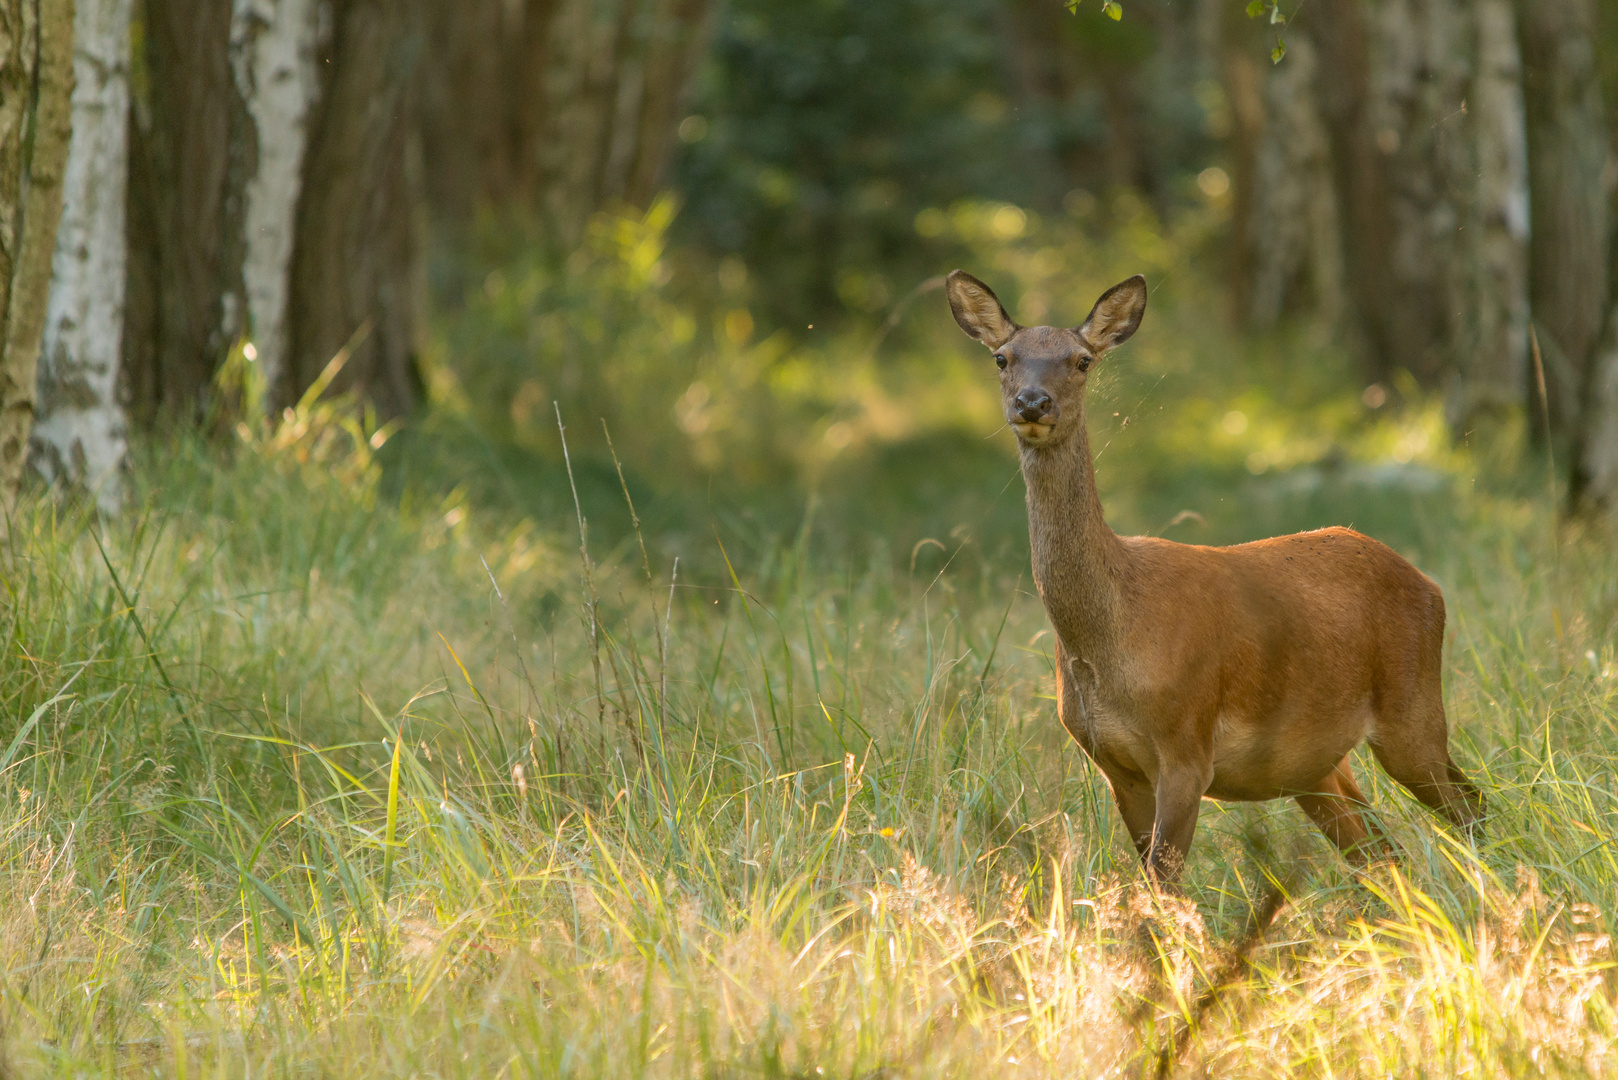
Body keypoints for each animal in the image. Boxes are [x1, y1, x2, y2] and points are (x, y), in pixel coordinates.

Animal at [944, 272, 1482, 887]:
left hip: (1411, 708)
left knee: (1471, 809)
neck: (1110, 637)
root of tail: (1428, 584)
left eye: (1082, 360)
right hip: (1314, 765)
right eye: (1002, 358)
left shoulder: (1186, 745)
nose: (1033, 402)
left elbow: (1164, 889)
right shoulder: (1114, 766)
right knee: (1381, 853)